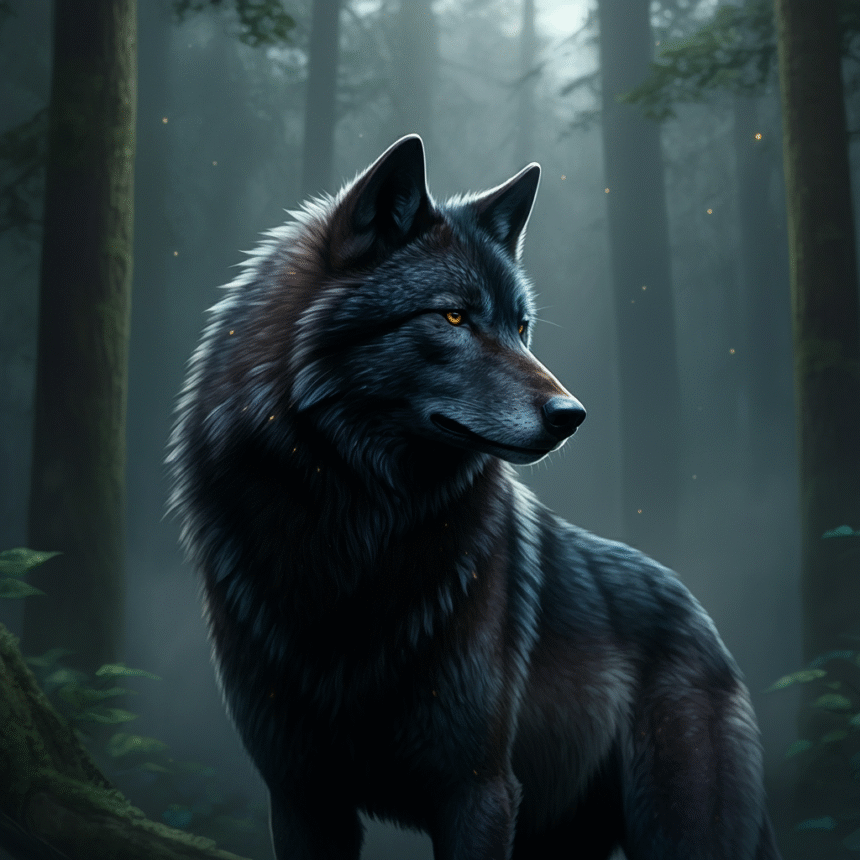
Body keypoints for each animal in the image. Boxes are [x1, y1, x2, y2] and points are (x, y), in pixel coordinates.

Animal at [168, 135, 781, 860]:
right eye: (454, 315)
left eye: (521, 326)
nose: (572, 415)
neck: (353, 533)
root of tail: (703, 618)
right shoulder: (301, 793)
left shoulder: (476, 787)